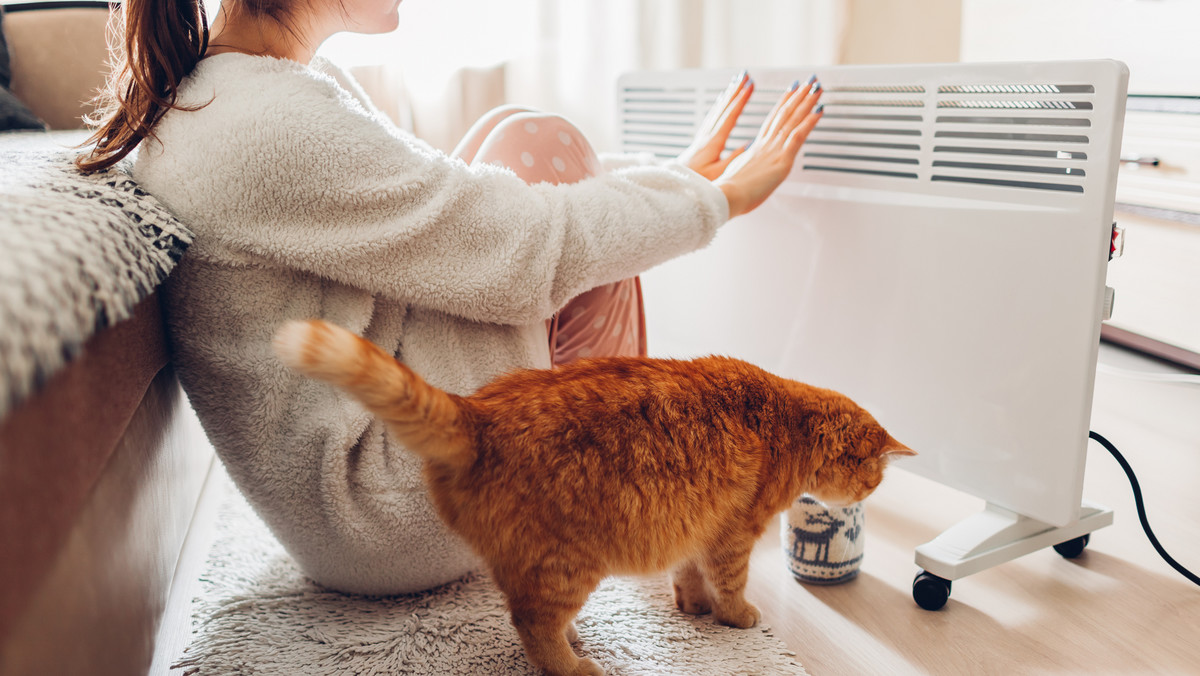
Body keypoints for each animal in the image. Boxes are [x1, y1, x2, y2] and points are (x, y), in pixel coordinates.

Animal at [272, 319, 907, 676]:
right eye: (873, 481)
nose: (872, 493)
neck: (786, 421)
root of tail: (478, 412)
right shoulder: (732, 535)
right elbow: (729, 585)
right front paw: (734, 616)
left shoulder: (697, 526)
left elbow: (688, 576)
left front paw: (693, 608)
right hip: (569, 563)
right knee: (531, 624)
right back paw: (575, 665)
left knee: (526, 610)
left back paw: (575, 639)